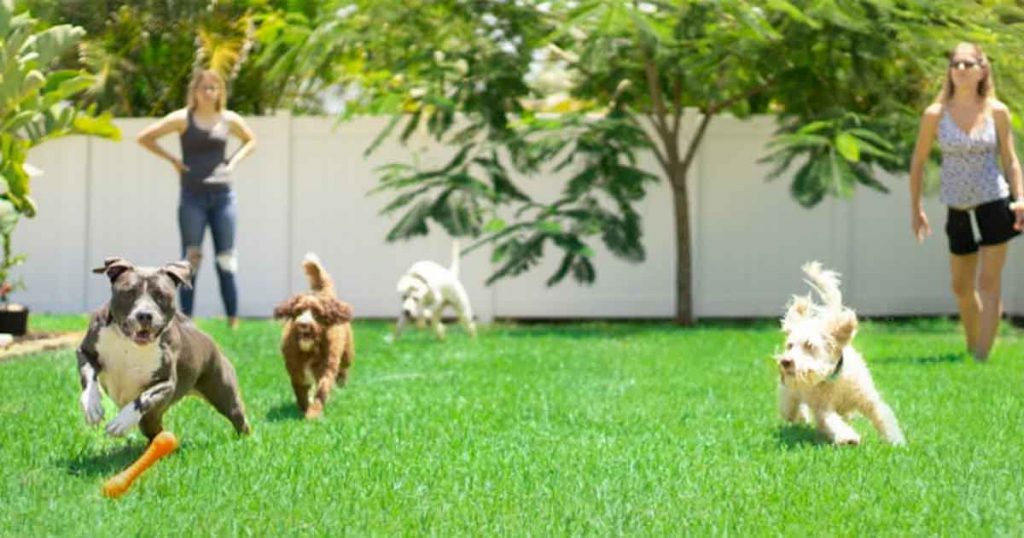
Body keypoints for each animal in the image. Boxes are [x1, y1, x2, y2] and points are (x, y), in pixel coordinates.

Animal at [76, 257, 250, 440]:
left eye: (161, 295)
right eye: (129, 292)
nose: (145, 315)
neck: (129, 342)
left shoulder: (167, 383)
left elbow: (144, 397)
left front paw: (121, 422)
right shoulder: (85, 352)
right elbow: (88, 375)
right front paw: (92, 405)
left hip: (224, 394)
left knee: (239, 418)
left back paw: (243, 441)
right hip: (151, 419)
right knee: (157, 430)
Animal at [274, 253, 354, 420]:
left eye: (317, 314)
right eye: (298, 311)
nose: (303, 324)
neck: (309, 348)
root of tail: (324, 293)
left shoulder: (327, 365)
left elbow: (322, 389)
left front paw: (313, 414)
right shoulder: (295, 367)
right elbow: (300, 389)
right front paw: (304, 407)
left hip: (347, 352)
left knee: (344, 367)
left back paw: (342, 381)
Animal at [774, 261, 905, 444]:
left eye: (809, 345)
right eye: (790, 345)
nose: (785, 362)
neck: (834, 379)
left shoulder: (868, 399)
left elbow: (882, 416)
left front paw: (895, 440)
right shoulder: (823, 408)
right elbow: (832, 421)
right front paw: (848, 438)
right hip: (789, 396)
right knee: (792, 411)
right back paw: (803, 418)